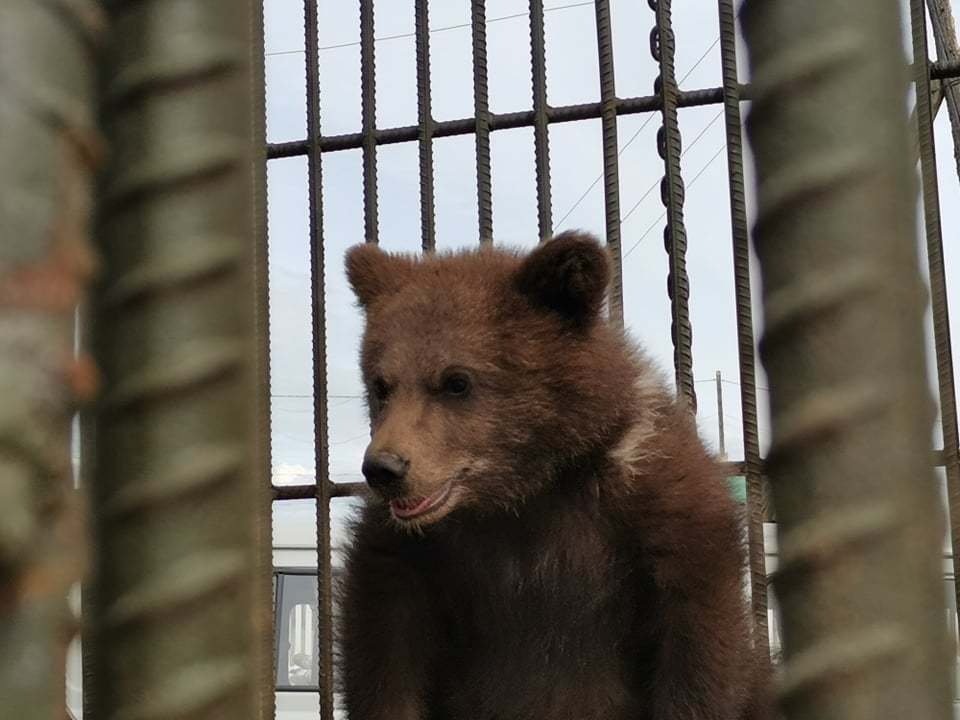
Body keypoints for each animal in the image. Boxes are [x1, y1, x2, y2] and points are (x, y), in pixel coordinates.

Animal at [338, 232, 772, 720]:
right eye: (381, 384)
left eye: (456, 381)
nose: (384, 469)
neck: (527, 488)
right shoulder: (416, 557)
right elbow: (386, 648)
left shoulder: (658, 516)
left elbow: (696, 651)